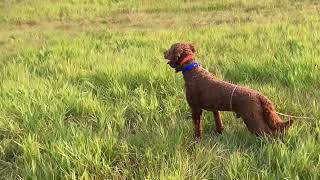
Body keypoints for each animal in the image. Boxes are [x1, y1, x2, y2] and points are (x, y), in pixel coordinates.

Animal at [164, 43, 294, 140]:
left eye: (170, 49)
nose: (163, 52)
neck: (192, 70)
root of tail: (259, 96)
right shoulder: (214, 108)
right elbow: (218, 121)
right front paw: (220, 133)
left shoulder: (195, 108)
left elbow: (197, 127)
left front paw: (197, 140)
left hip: (253, 120)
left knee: (267, 135)